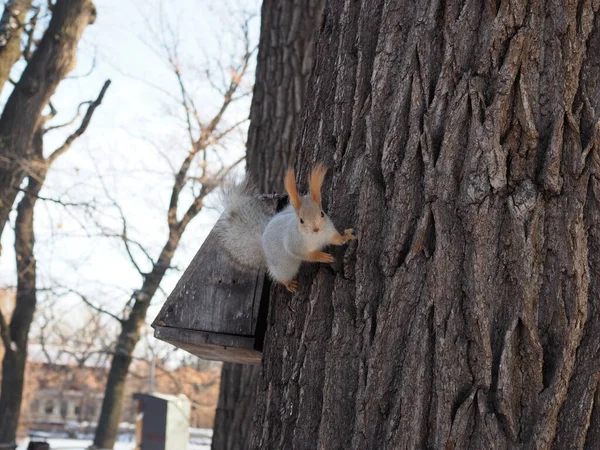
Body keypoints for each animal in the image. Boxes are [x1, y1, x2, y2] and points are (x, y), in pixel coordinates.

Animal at [216, 163, 356, 294]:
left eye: (322, 213)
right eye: (301, 220)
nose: (316, 229)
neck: (316, 237)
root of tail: (263, 244)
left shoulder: (328, 231)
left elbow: (336, 239)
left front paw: (346, 236)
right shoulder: (294, 243)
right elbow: (304, 254)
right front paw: (322, 256)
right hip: (285, 266)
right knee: (279, 276)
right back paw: (288, 283)